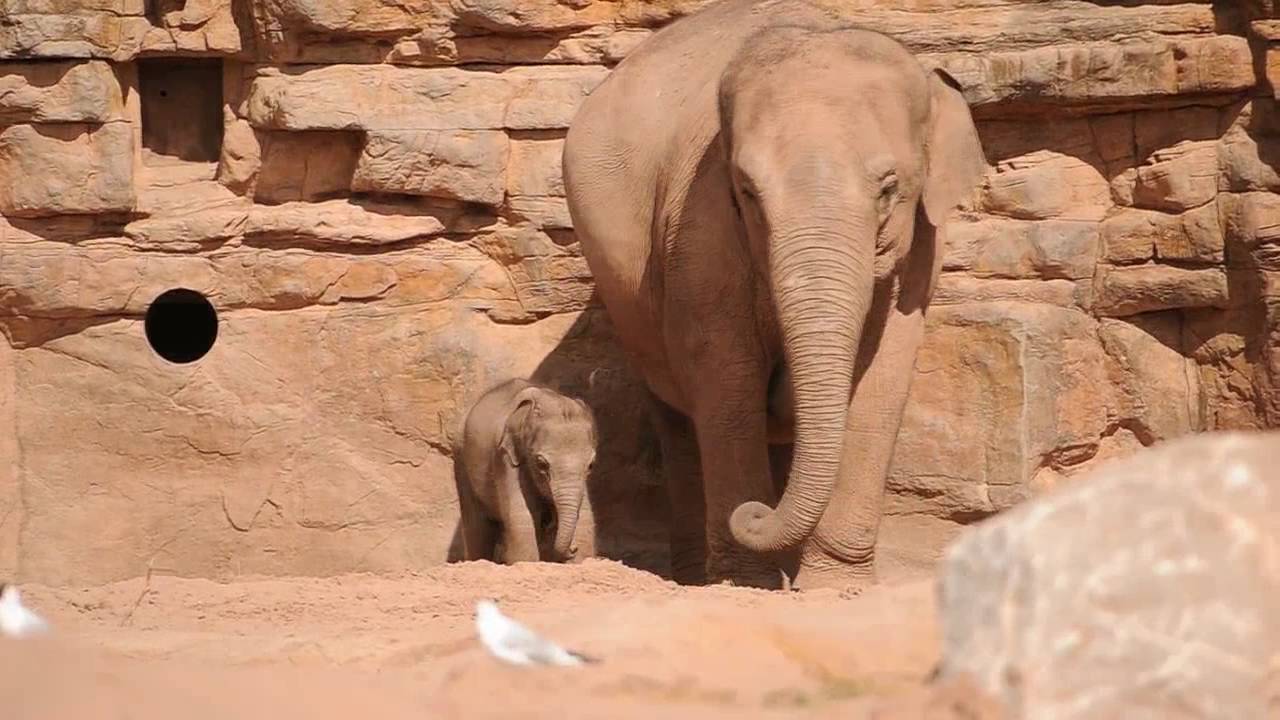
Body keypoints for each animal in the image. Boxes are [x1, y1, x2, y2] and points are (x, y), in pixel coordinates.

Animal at [452, 379, 597, 564]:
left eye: (591, 465)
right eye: (541, 463)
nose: (573, 548)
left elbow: (586, 515)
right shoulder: (505, 457)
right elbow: (522, 516)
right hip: (461, 458)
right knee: (477, 525)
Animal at [561, 0, 987, 590]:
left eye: (888, 189)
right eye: (747, 192)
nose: (754, 515)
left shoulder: (923, 247)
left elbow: (885, 373)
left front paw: (835, 585)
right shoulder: (699, 228)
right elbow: (726, 374)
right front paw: (747, 581)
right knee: (677, 415)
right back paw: (699, 574)